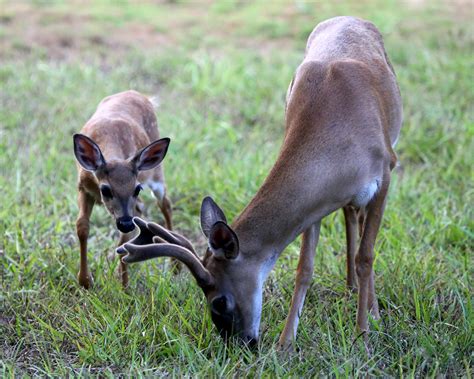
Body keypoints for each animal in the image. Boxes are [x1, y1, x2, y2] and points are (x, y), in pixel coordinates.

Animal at [75, 90, 175, 290]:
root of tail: (139, 94)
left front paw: (125, 286)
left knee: (165, 204)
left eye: (137, 188)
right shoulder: (83, 187)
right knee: (143, 209)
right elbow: (82, 227)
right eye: (105, 189)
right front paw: (85, 281)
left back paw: (175, 266)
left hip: (157, 174)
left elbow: (123, 239)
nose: (126, 223)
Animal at [116, 17, 402, 350]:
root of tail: (351, 18)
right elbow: (305, 268)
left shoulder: (386, 172)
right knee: (350, 215)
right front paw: (286, 344)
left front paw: (364, 333)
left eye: (219, 301)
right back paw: (351, 288)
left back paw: (368, 306)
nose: (240, 343)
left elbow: (366, 256)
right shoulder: (317, 202)